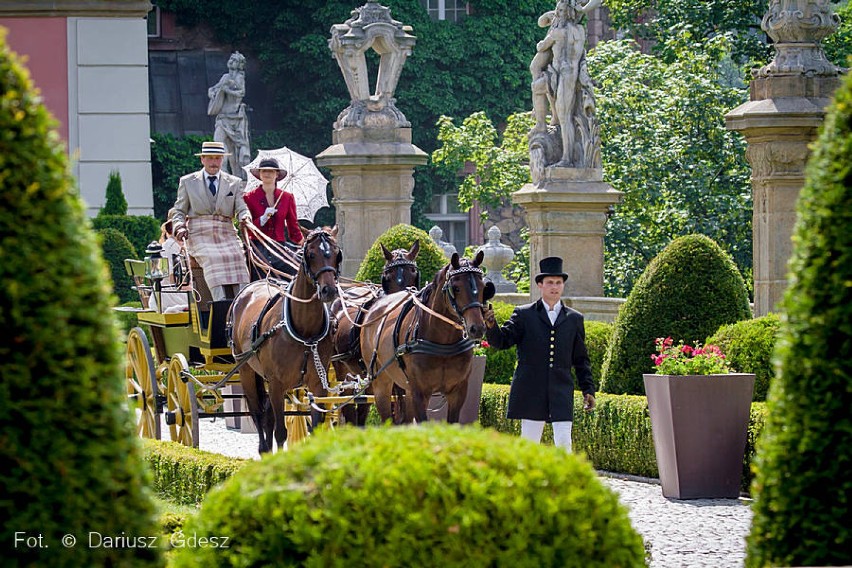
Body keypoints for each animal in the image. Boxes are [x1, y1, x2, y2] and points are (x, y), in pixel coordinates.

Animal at [231, 225, 344, 452]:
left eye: (337, 254)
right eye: (310, 254)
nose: (328, 290)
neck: (305, 332)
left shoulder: (318, 385)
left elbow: (315, 429)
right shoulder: (276, 384)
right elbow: (281, 432)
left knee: (266, 416)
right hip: (246, 371)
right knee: (258, 414)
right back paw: (264, 449)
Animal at [358, 251, 492, 424]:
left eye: (483, 288)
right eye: (456, 288)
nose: (477, 328)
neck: (443, 344)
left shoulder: (458, 391)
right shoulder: (420, 393)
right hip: (381, 383)